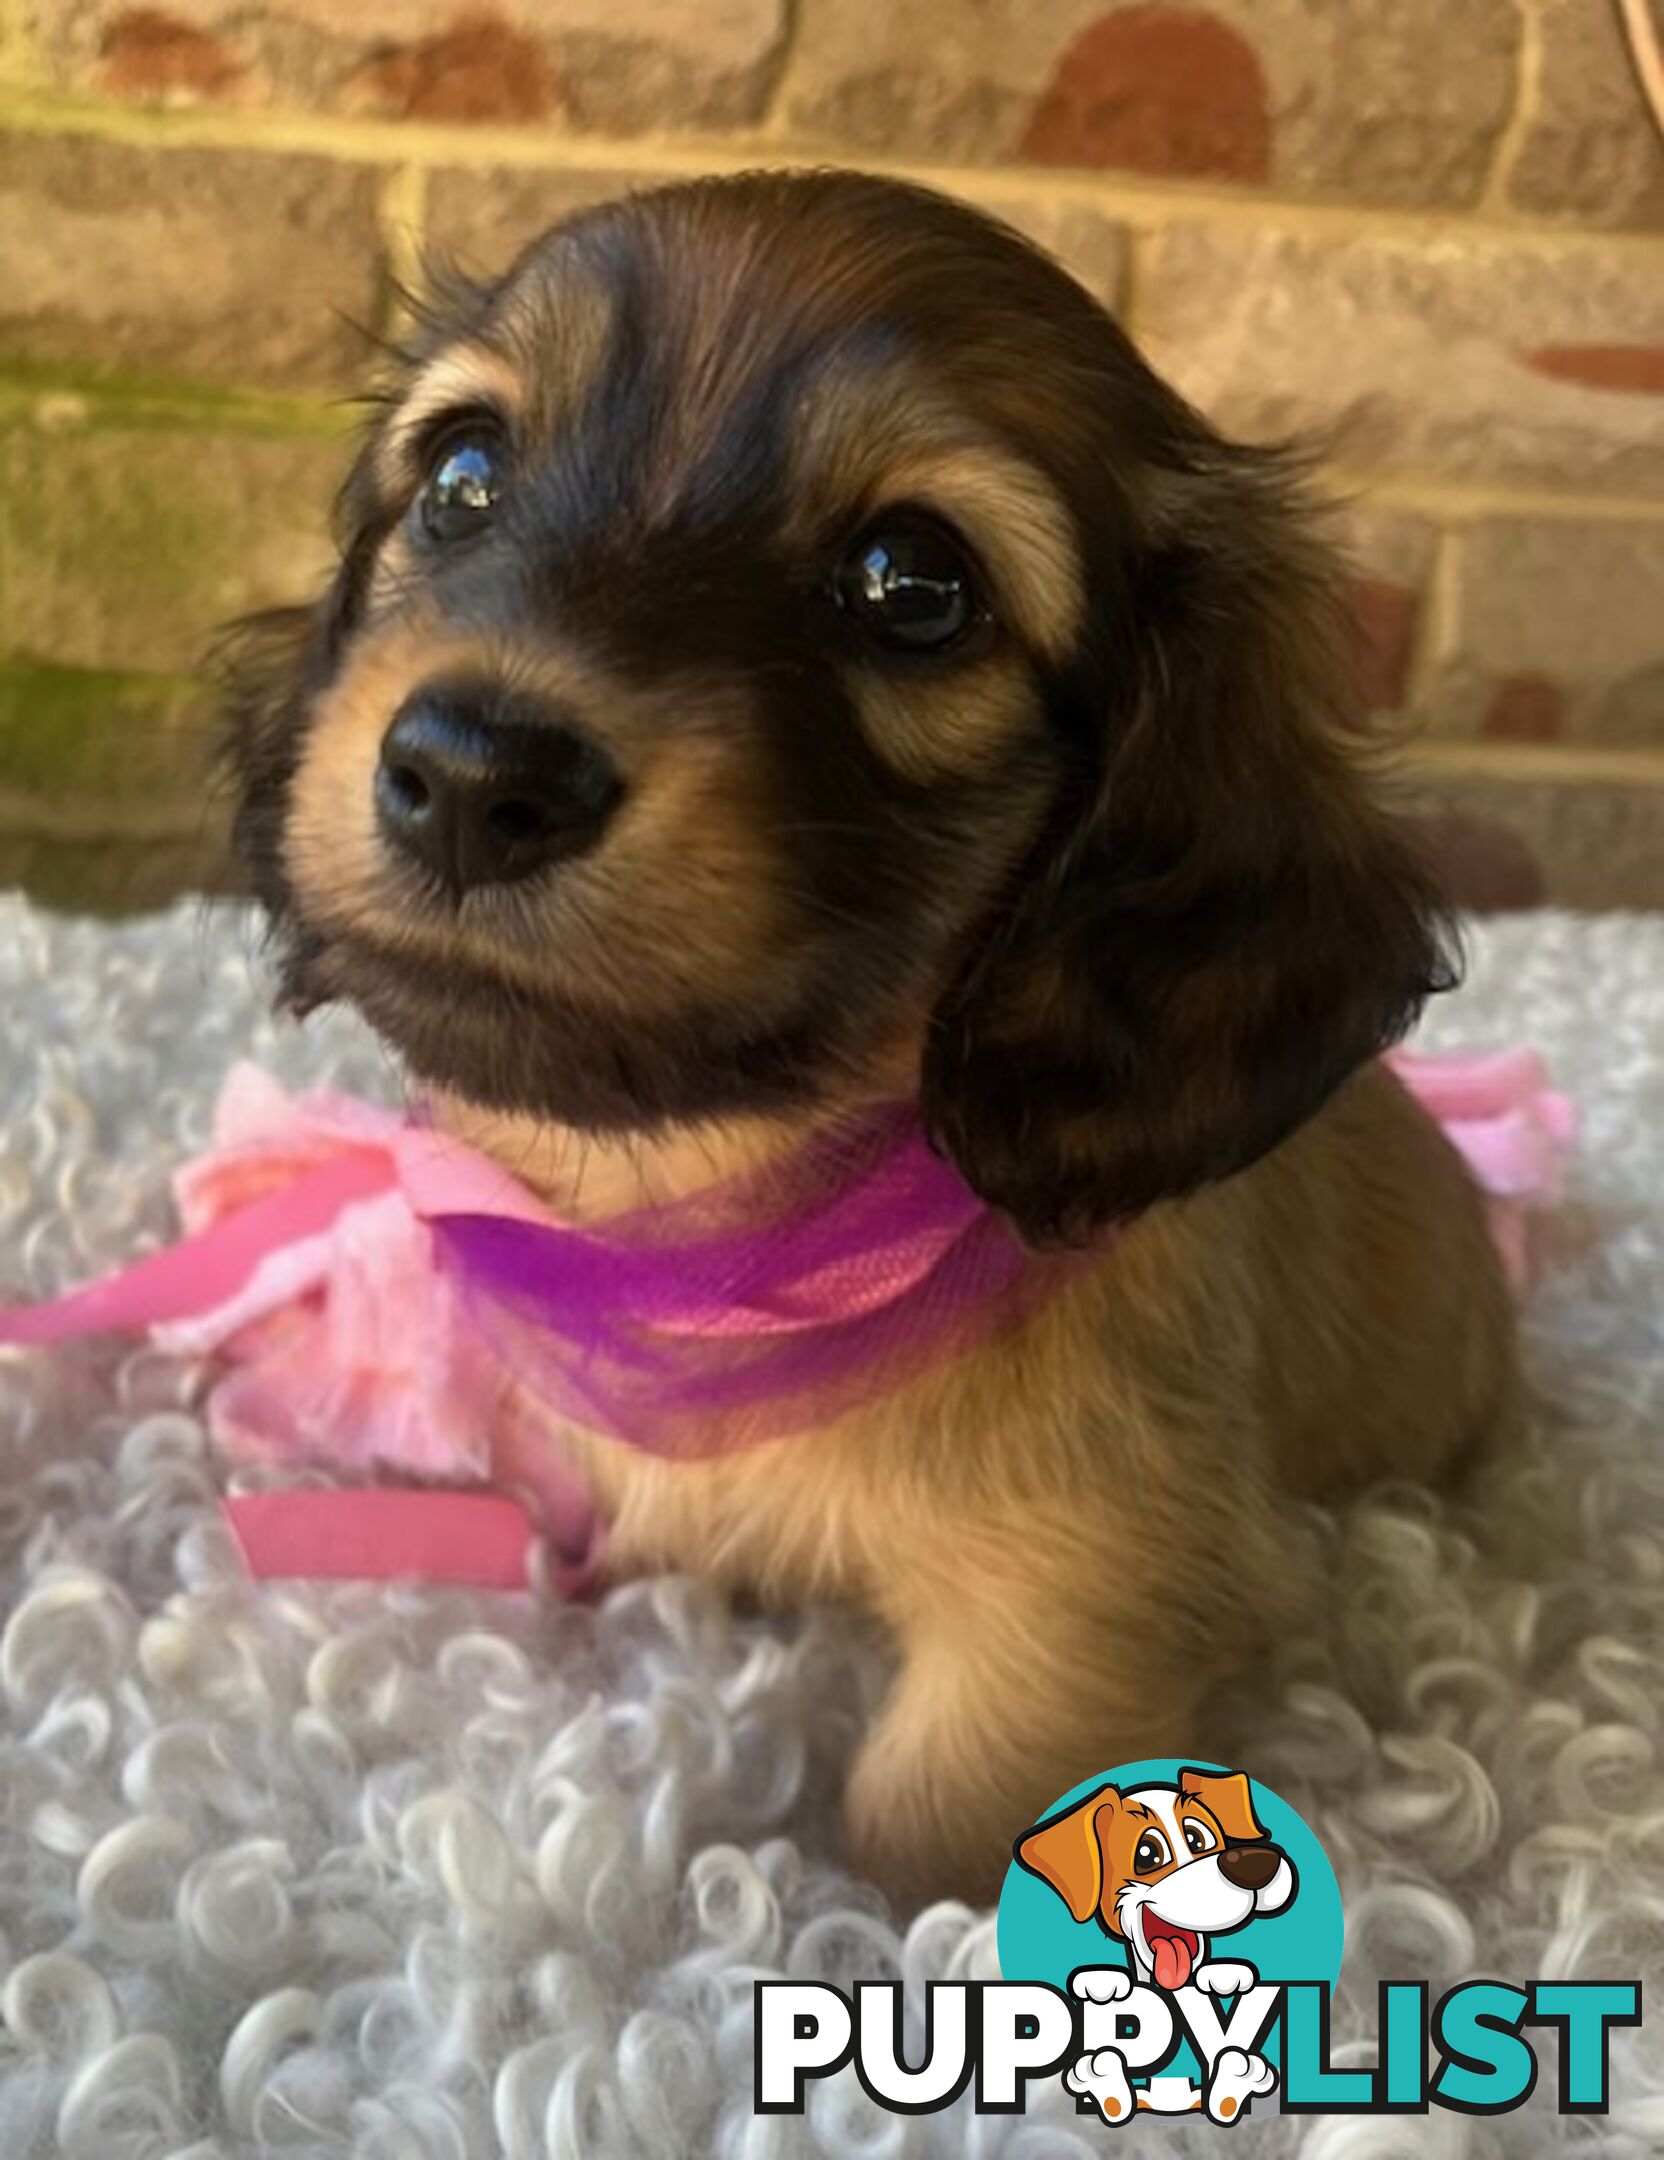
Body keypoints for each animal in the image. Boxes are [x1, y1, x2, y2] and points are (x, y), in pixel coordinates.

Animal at [223, 172, 1521, 1909]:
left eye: (913, 582)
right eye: (463, 476)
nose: (474, 776)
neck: (733, 1238)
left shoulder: (1083, 1602)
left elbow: (933, 1821)